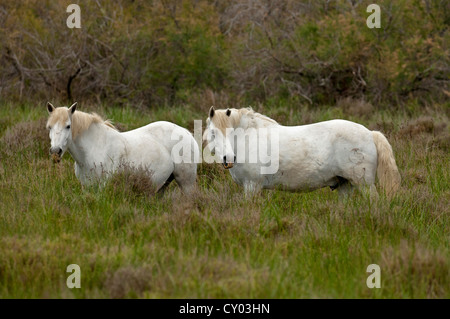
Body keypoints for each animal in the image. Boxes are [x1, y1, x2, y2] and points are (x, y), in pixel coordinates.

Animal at [46, 102, 199, 192]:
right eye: (49, 127)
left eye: (68, 126)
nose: (55, 152)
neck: (94, 148)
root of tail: (186, 133)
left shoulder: (103, 186)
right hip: (163, 185)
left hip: (186, 183)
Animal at [204, 106, 400, 199]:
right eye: (213, 132)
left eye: (231, 132)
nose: (229, 158)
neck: (248, 139)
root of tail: (370, 133)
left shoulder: (252, 186)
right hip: (345, 185)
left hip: (364, 185)